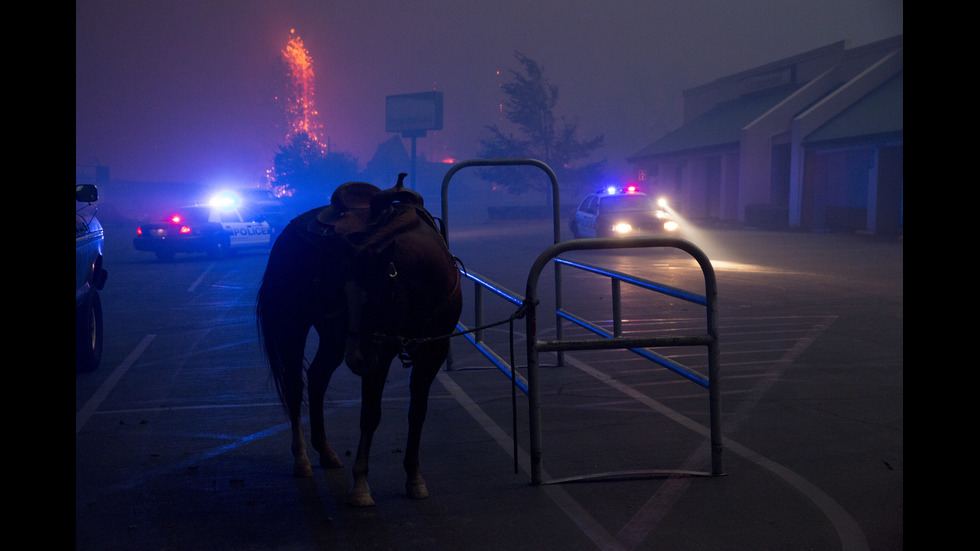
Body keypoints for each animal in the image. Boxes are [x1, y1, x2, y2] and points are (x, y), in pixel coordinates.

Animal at [256, 177, 464, 508]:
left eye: (383, 298)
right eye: (347, 292)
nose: (356, 360)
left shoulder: (433, 350)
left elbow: (417, 412)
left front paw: (414, 477)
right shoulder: (379, 354)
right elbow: (370, 415)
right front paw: (361, 486)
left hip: (333, 337)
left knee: (317, 378)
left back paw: (325, 452)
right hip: (294, 327)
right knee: (294, 387)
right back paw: (301, 458)